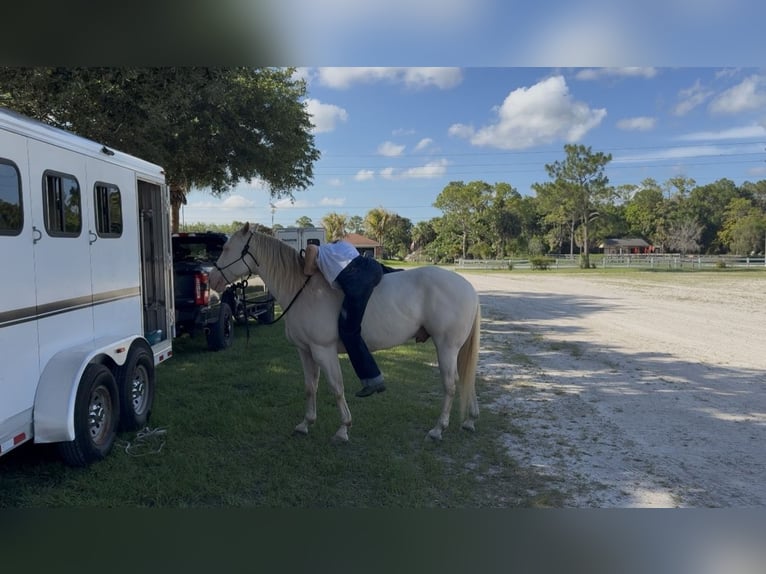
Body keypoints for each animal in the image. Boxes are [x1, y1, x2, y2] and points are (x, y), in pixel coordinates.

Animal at [209, 223, 481, 442]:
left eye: (227, 248)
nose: (212, 280)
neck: (303, 290)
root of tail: (469, 288)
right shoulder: (304, 351)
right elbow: (310, 387)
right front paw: (305, 424)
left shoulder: (323, 350)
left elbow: (336, 387)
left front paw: (343, 429)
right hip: (456, 348)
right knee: (466, 380)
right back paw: (469, 420)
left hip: (446, 347)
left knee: (450, 385)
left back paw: (438, 429)